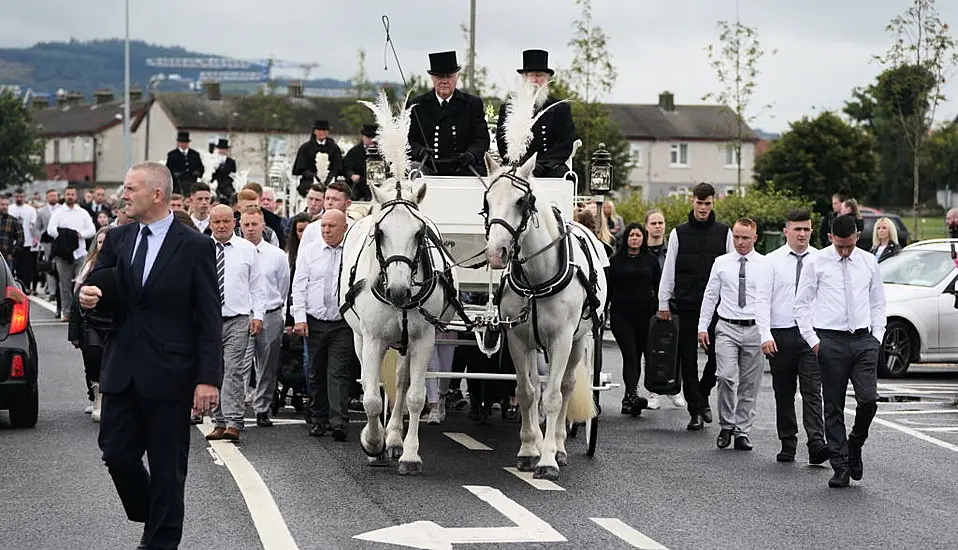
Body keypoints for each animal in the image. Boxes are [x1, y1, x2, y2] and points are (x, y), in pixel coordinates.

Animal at [480, 150, 608, 478]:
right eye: (488, 201)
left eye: (521, 201)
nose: (495, 253)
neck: (537, 280)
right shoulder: (517, 338)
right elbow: (527, 393)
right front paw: (528, 450)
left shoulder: (561, 340)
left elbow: (553, 397)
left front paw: (548, 459)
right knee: (538, 388)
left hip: (580, 340)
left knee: (566, 386)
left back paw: (559, 446)